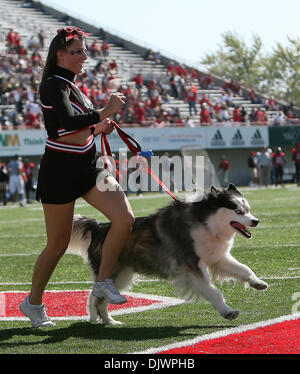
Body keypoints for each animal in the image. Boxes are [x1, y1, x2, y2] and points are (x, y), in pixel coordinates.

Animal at [67, 184, 268, 324]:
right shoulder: (191, 267)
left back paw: (109, 321)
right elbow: (213, 291)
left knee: (100, 299)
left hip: (122, 275)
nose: (256, 221)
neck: (205, 222)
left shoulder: (218, 258)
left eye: (248, 210)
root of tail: (100, 227)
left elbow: (244, 269)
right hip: (112, 272)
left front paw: (257, 282)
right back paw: (95, 319)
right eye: (238, 211)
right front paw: (227, 312)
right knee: (95, 297)